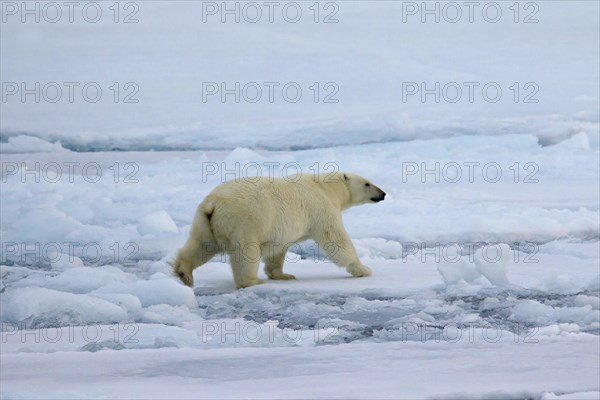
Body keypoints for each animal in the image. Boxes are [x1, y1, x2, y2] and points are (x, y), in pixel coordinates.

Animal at [170, 172, 384, 288]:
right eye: (367, 183)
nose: (382, 193)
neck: (326, 188)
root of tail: (213, 202)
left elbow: (277, 250)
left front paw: (283, 275)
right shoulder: (321, 208)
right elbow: (335, 238)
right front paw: (363, 269)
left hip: (206, 221)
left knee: (201, 245)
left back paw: (183, 272)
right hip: (244, 221)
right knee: (246, 253)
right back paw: (252, 281)